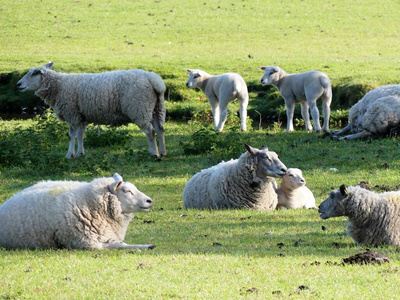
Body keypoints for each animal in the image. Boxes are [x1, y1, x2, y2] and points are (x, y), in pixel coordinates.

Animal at [0, 172, 155, 250]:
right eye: (127, 191)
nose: (149, 201)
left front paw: (147, 245)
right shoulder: (85, 242)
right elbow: (116, 245)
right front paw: (145, 246)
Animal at [16, 61, 167, 159]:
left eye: (34, 73)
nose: (18, 84)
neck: (58, 86)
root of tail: (152, 78)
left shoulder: (72, 114)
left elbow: (71, 136)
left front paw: (69, 155)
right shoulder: (81, 116)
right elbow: (80, 135)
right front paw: (80, 153)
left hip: (139, 108)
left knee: (150, 131)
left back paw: (153, 154)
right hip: (156, 108)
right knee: (160, 129)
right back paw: (163, 152)